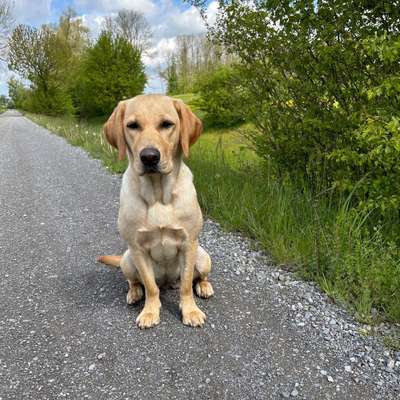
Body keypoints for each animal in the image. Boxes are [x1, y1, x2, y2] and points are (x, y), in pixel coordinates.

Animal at [97, 94, 212, 328]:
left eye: (167, 124)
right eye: (132, 125)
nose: (149, 157)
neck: (158, 194)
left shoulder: (189, 243)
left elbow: (186, 285)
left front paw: (190, 311)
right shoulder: (137, 248)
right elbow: (150, 286)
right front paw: (150, 312)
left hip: (203, 257)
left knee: (197, 277)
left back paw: (204, 286)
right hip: (127, 260)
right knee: (136, 281)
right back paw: (134, 293)